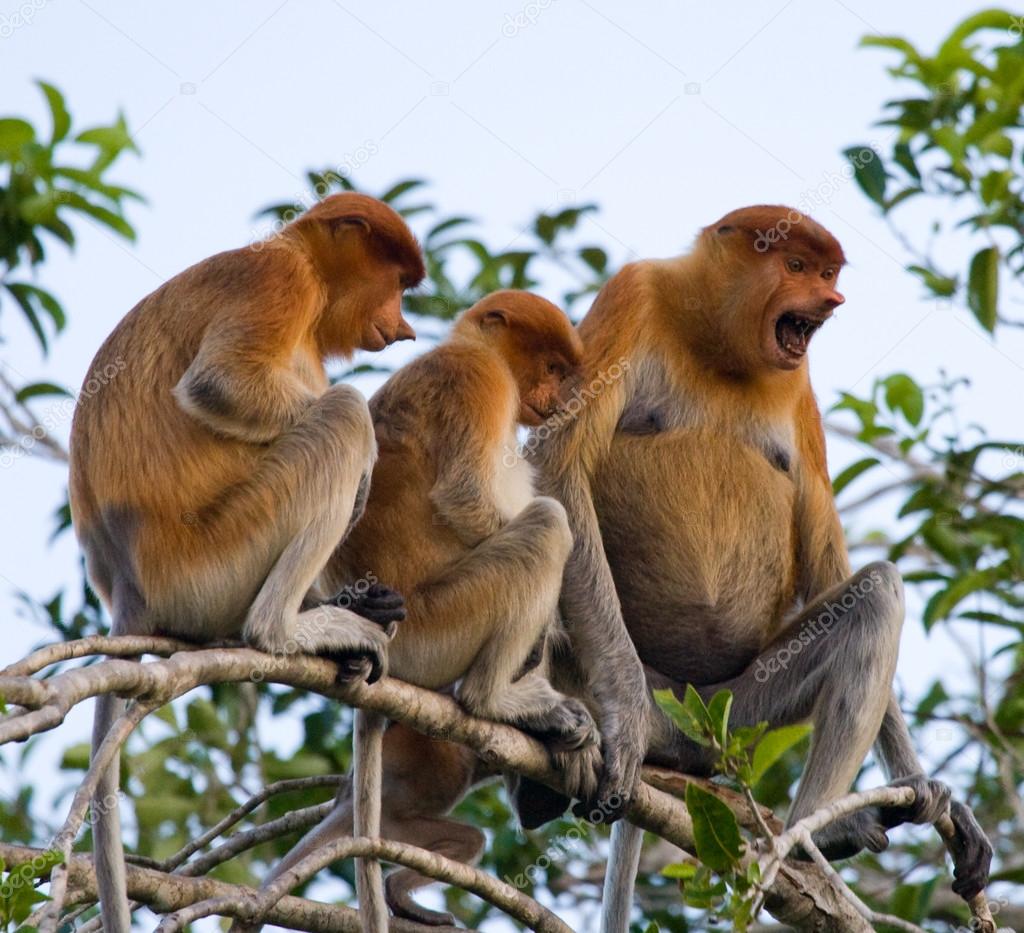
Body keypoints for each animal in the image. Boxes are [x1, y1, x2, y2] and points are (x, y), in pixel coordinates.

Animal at [68, 191, 425, 933]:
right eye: (398, 281)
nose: (404, 325)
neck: (304, 261)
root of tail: (127, 585)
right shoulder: (277, 283)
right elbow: (221, 386)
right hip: (212, 559)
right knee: (341, 414)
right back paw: (290, 630)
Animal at [243, 290, 598, 925]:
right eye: (553, 367)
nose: (557, 400)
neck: (476, 349)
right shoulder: (475, 379)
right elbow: (466, 500)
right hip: (438, 627)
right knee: (546, 523)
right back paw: (498, 699)